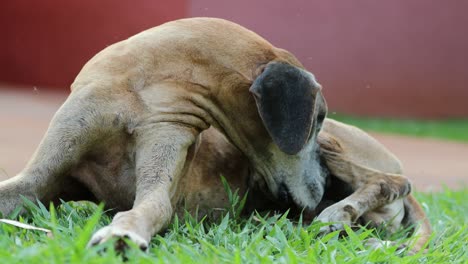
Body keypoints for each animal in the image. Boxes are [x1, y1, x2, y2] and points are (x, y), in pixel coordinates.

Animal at [0, 17, 432, 253]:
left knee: (393, 181)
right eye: (318, 117)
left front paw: (123, 233)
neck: (141, 90)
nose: (324, 184)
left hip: (340, 153)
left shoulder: (166, 139)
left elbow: (152, 205)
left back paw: (338, 214)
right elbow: (21, 187)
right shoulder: (40, 174)